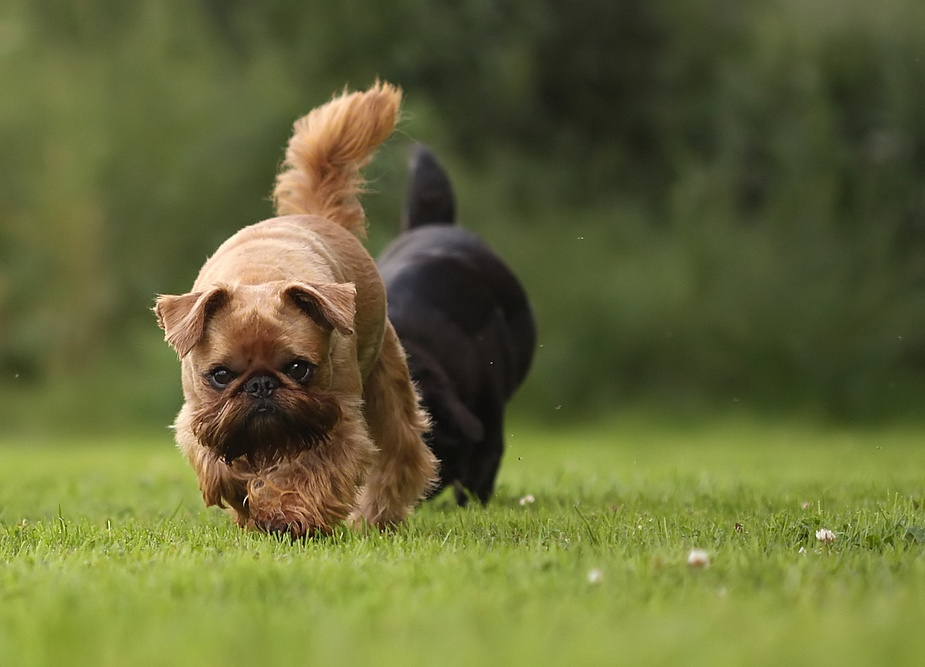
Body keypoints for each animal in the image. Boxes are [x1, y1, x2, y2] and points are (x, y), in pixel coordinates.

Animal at [153, 82, 438, 536]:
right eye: (220, 376)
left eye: (299, 368)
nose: (260, 386)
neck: (258, 278)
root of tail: (317, 215)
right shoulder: (199, 417)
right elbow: (221, 467)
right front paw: (248, 499)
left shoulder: (337, 424)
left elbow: (309, 474)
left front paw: (286, 513)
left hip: (384, 381)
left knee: (400, 454)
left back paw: (376, 516)